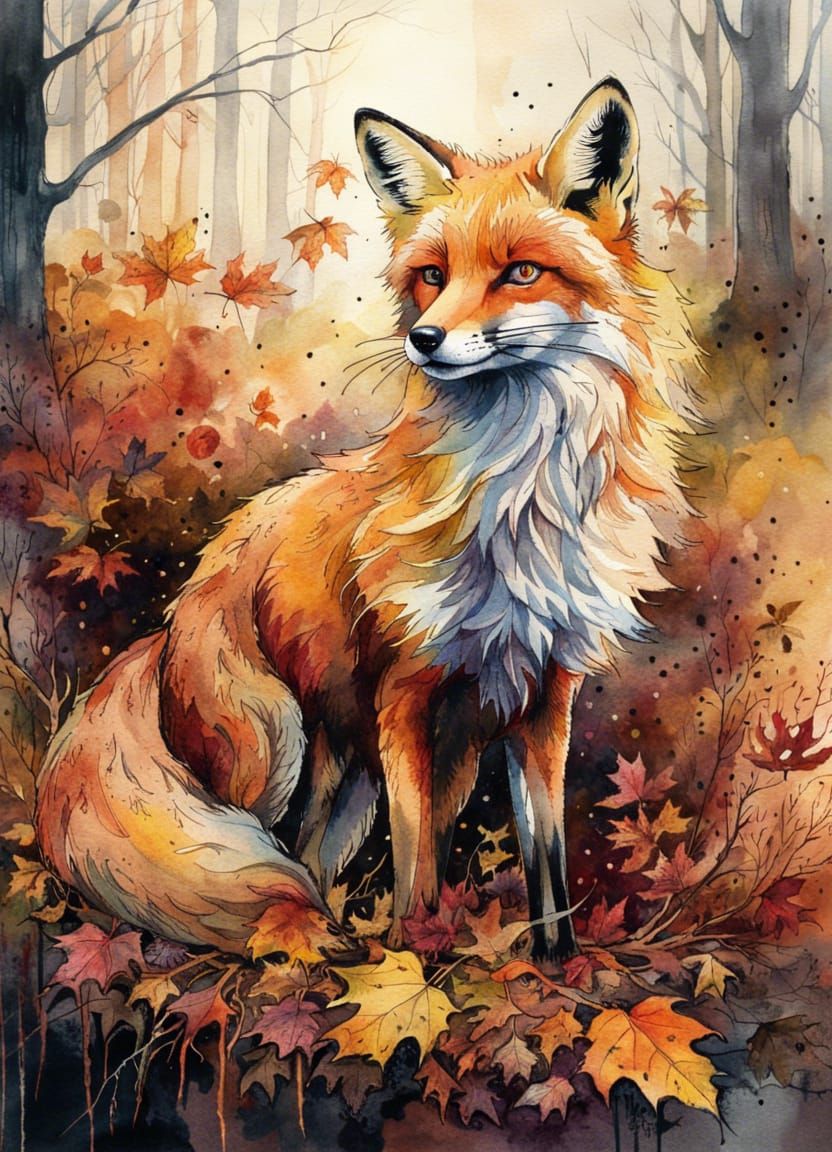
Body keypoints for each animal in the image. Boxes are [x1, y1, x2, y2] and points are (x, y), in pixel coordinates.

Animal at [35, 78, 698, 961]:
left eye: (522, 273)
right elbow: (417, 870)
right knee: (254, 855)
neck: (519, 495)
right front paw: (417, 961)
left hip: (365, 776)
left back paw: (326, 949)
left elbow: (546, 862)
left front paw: (555, 964)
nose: (425, 339)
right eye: (431, 276)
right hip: (274, 747)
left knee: (311, 861)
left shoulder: (543, 697)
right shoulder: (406, 696)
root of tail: (165, 624)